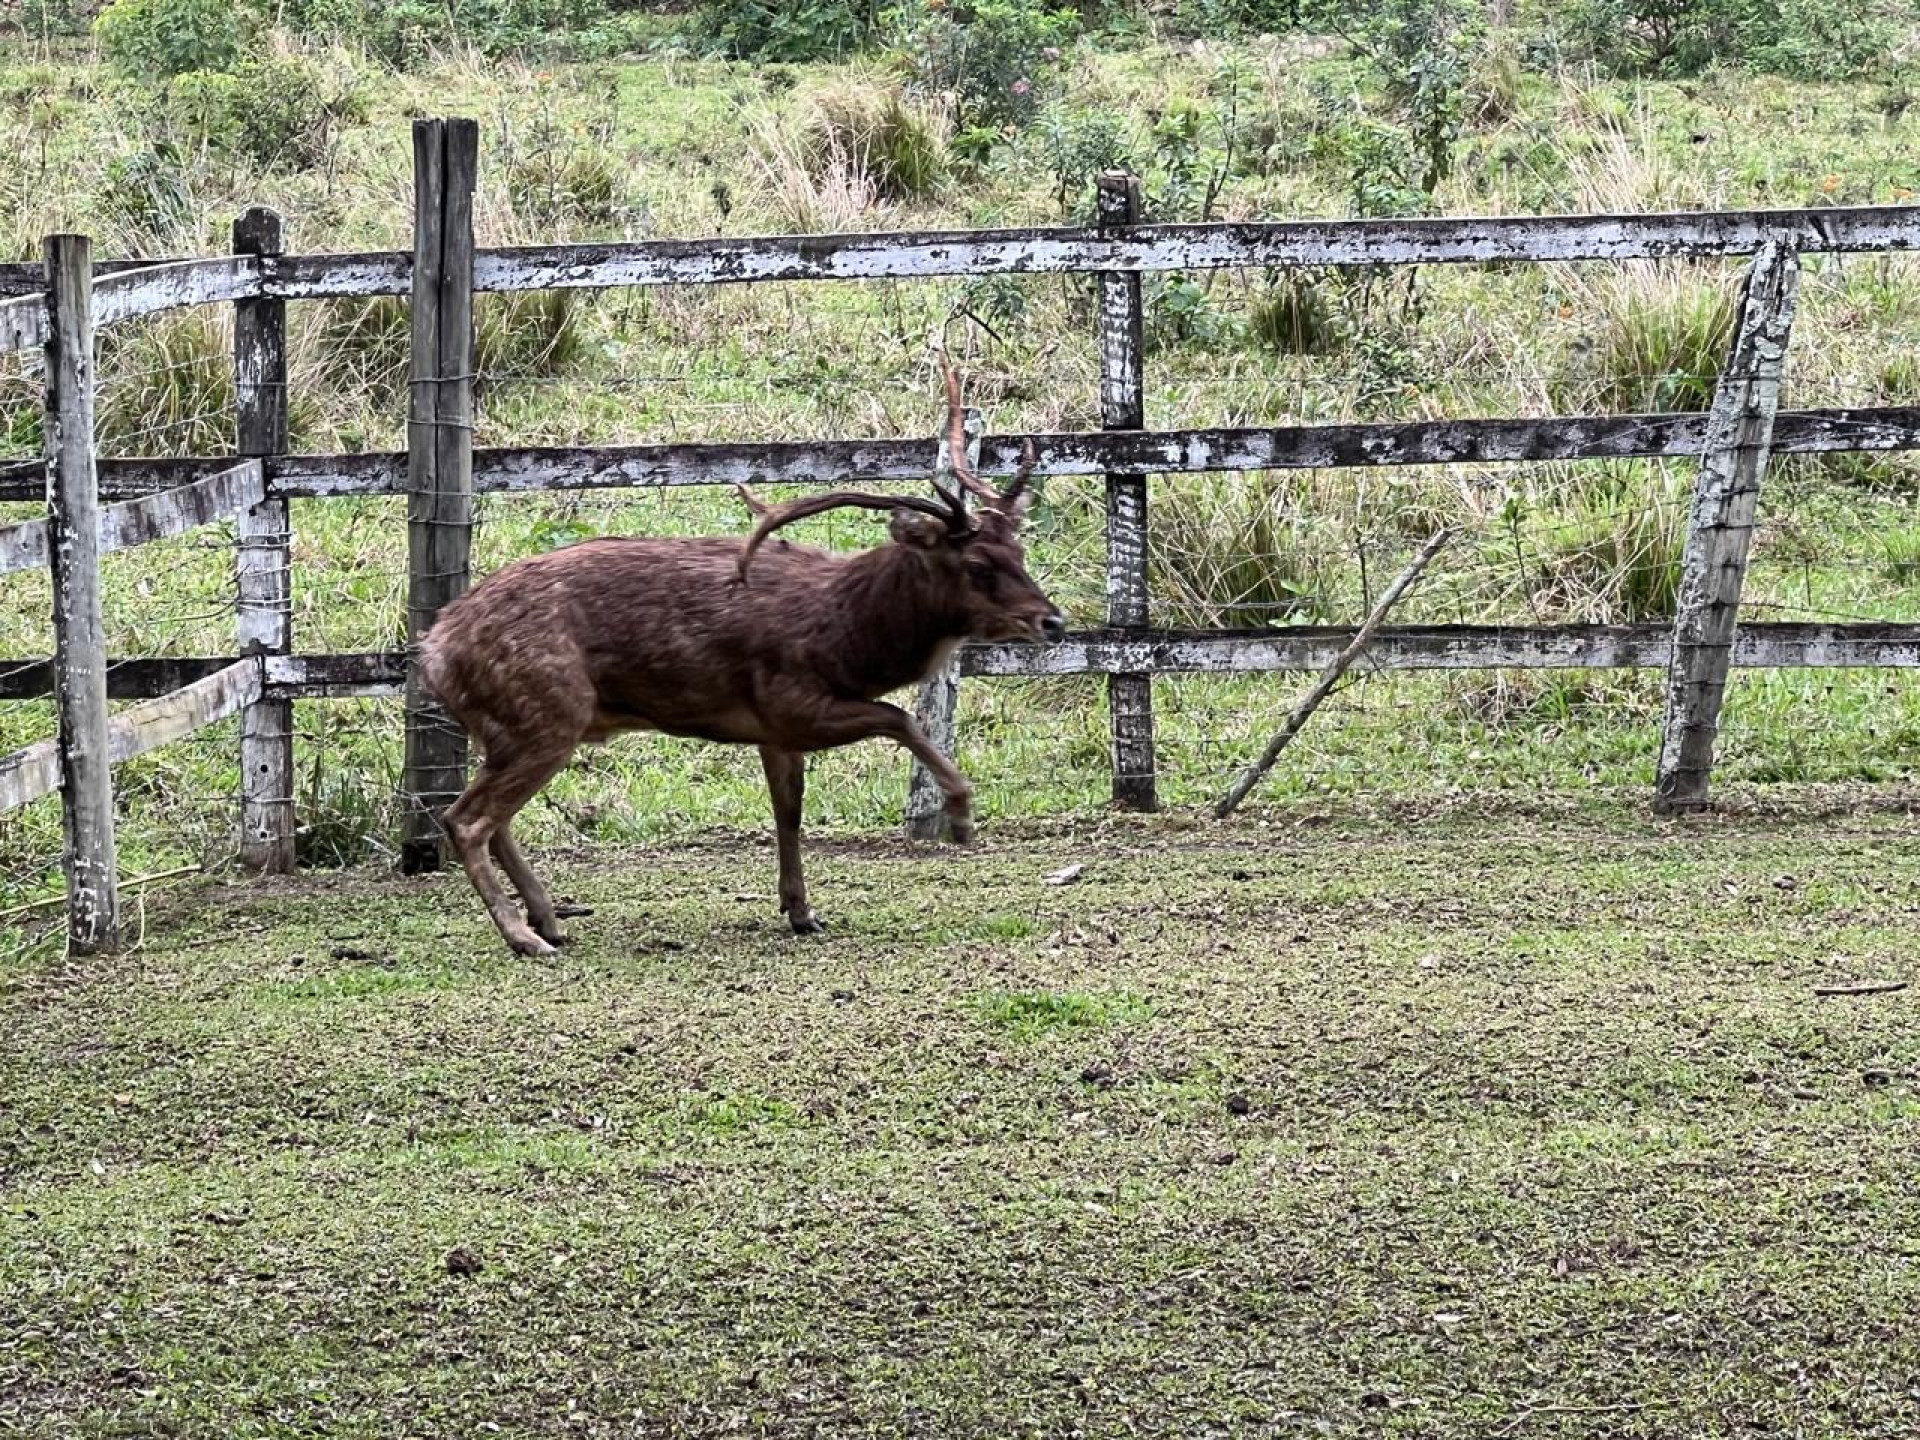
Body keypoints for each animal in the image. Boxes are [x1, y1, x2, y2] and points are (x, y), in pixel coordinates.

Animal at [417, 358, 1065, 957]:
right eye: (978, 566)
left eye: (1020, 551)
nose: (1052, 621)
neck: (849, 636)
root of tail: (434, 649)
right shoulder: (792, 700)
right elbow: (901, 717)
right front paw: (960, 814)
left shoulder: (774, 732)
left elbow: (789, 811)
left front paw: (801, 910)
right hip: (547, 710)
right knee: (467, 819)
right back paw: (525, 936)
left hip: (510, 725)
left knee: (493, 819)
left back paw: (548, 918)